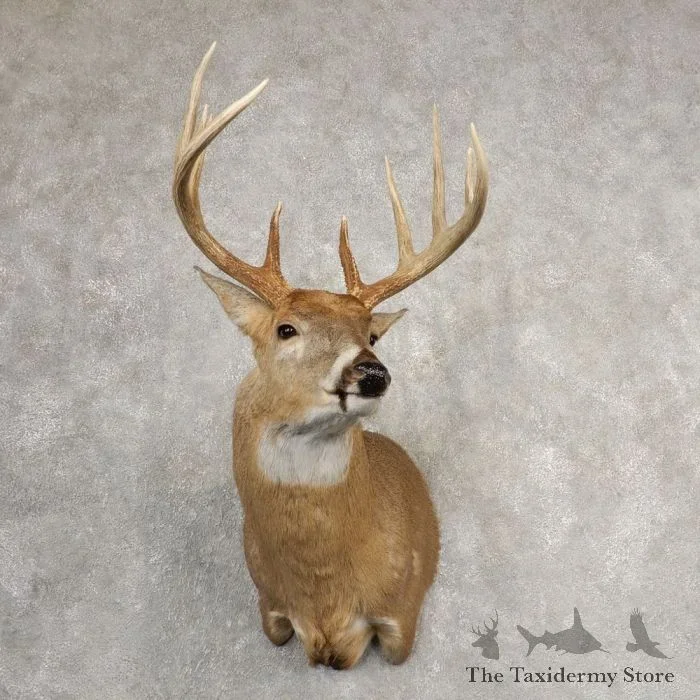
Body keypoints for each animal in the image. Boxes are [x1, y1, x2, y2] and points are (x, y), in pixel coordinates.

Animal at [172, 43, 489, 670]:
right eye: (285, 328)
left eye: (373, 334)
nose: (371, 373)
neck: (322, 596)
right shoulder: (269, 610)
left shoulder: (400, 618)